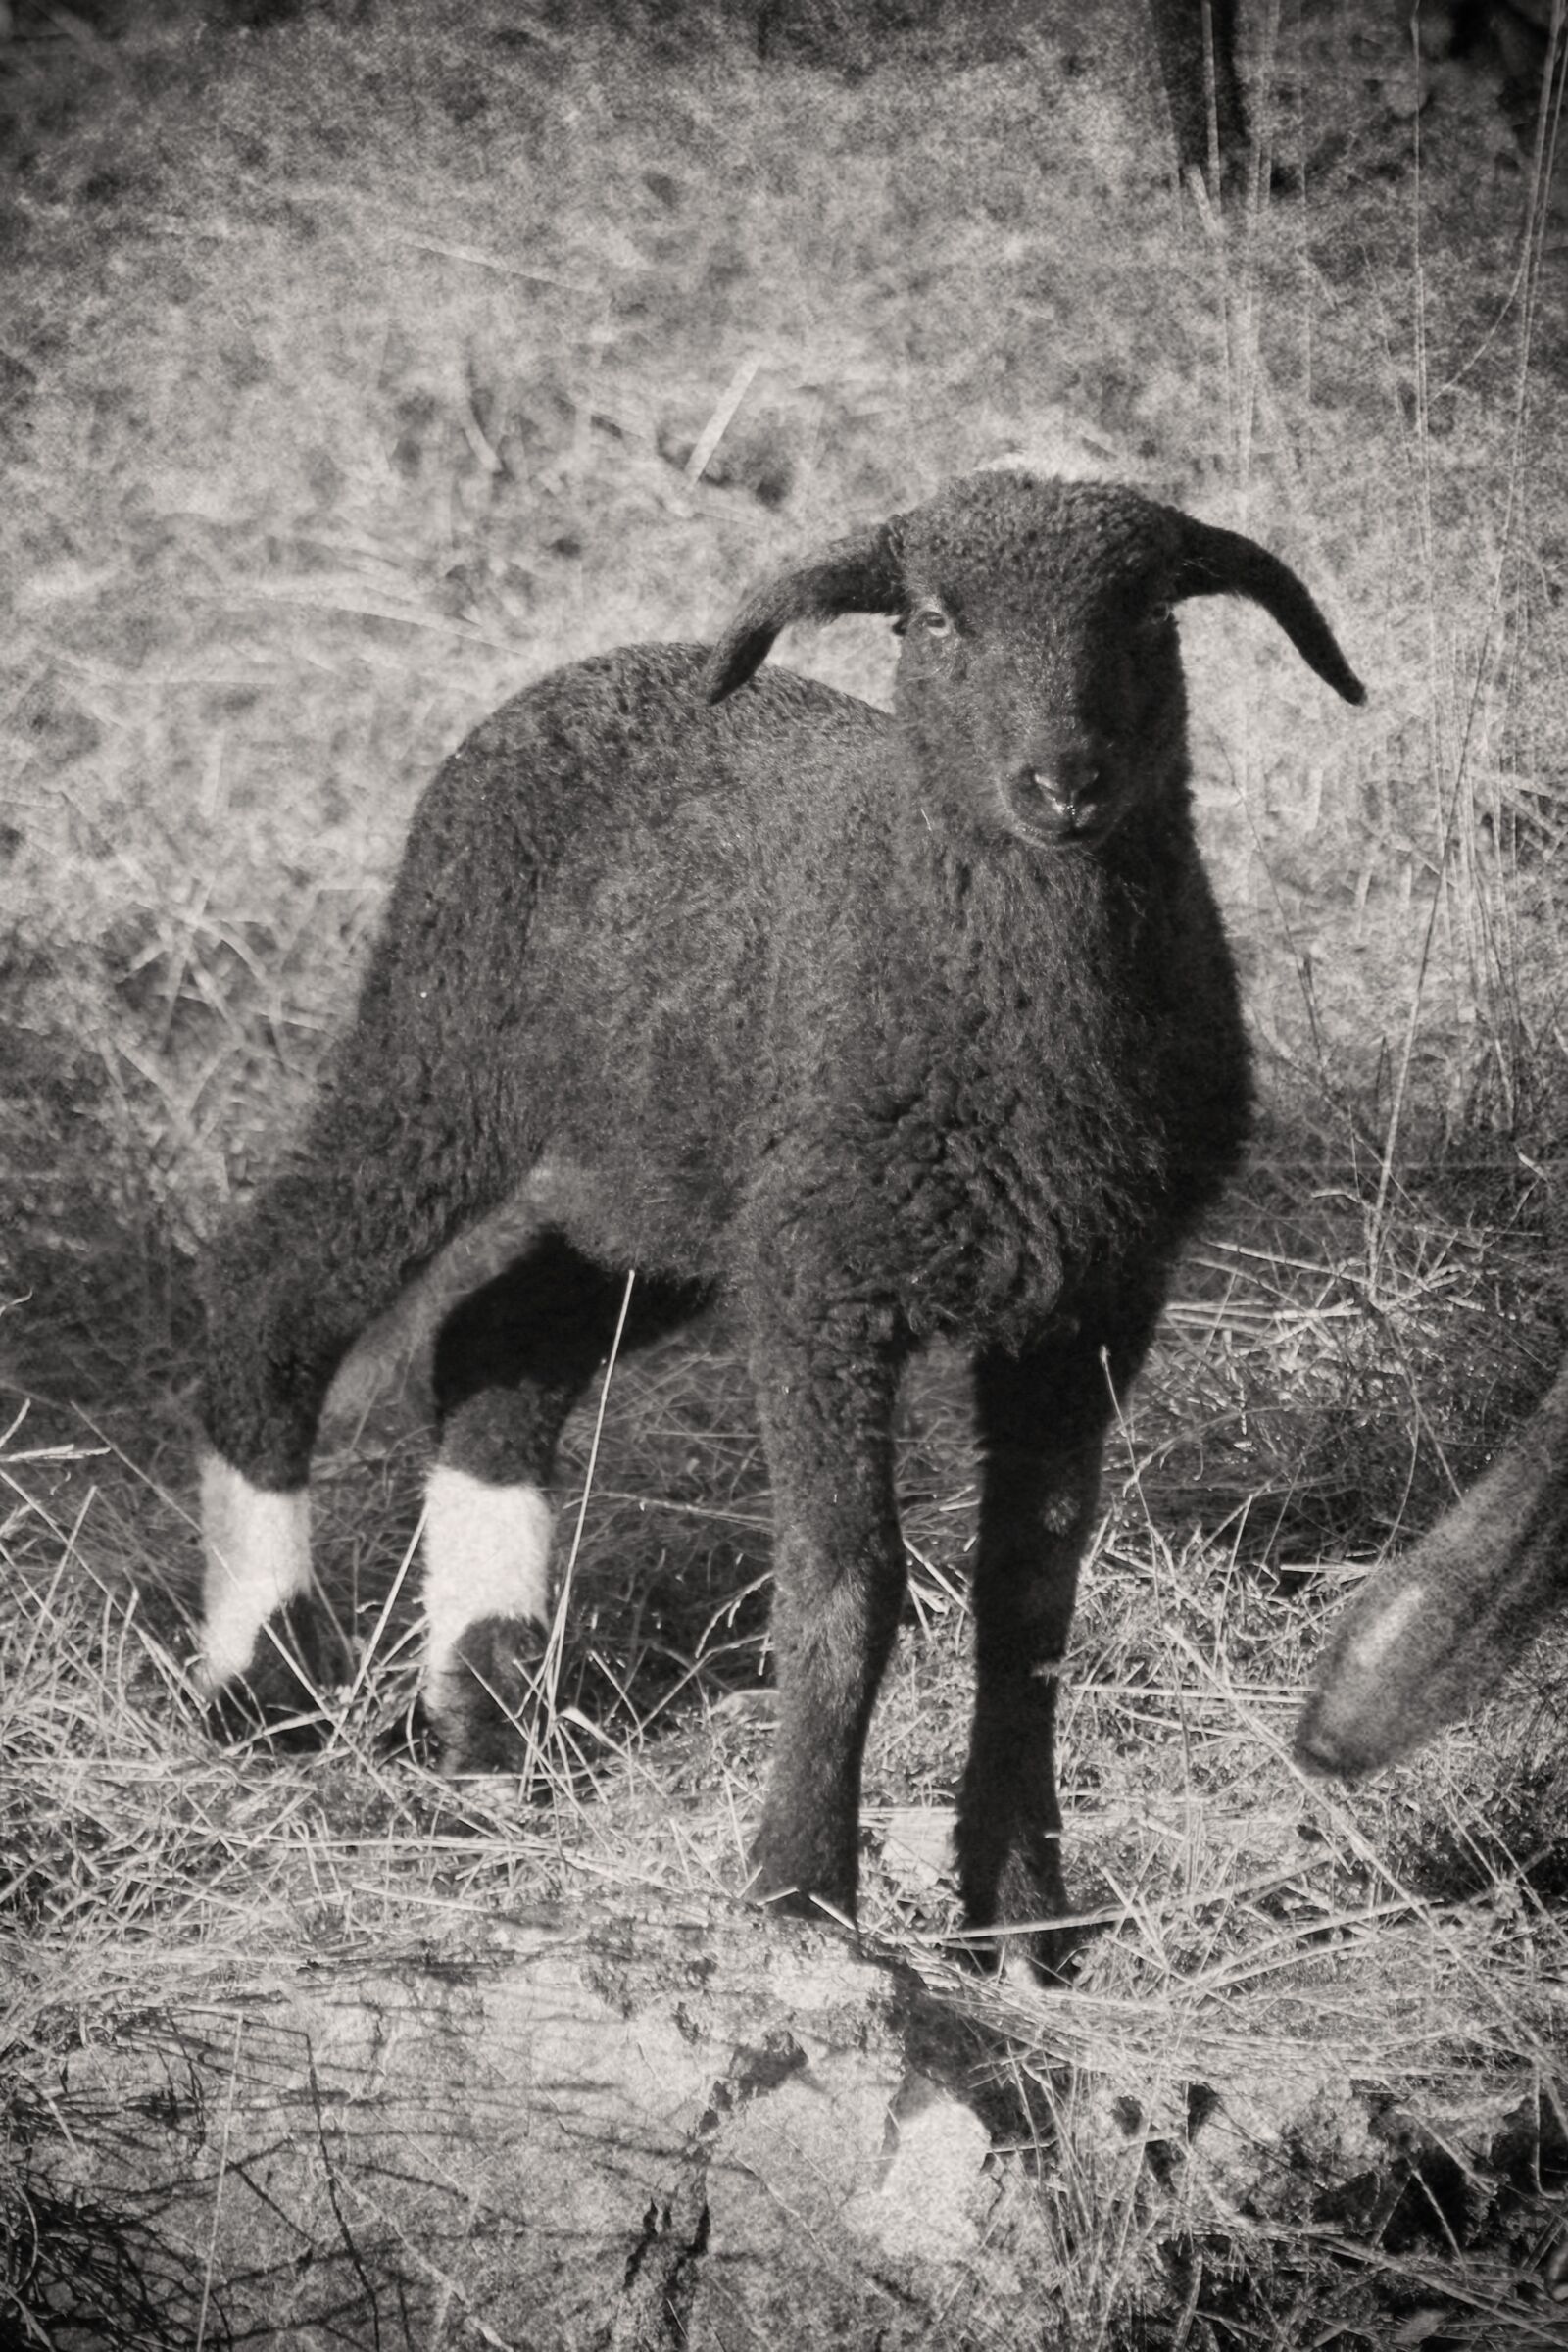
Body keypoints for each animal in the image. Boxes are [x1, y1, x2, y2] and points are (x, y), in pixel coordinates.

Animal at [195, 470, 1363, 1970]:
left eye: (1152, 612)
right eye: (931, 618)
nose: (1063, 786)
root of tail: (587, 670)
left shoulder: (1091, 1297)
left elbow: (1029, 1604)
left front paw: (1024, 1917)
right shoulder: (823, 1280)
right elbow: (844, 1587)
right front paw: (801, 1895)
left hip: (665, 1181)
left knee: (495, 1345)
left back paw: (489, 1707)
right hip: (444, 1049)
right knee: (272, 1292)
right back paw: (265, 1678)